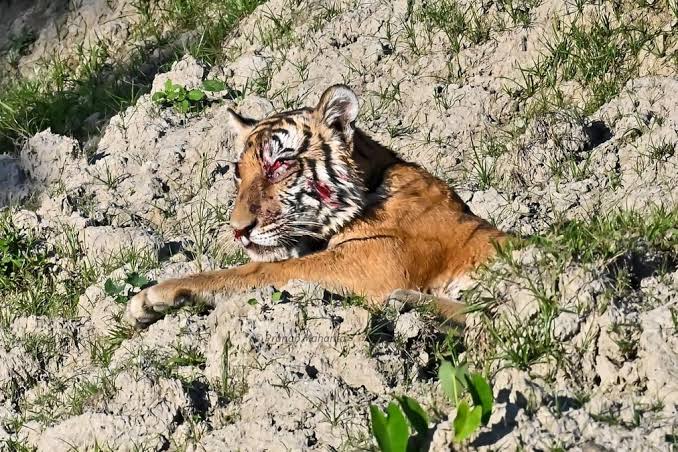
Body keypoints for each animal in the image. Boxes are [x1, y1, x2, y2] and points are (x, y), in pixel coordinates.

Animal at [125, 85, 508, 326]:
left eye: (279, 165)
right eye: (237, 172)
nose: (237, 230)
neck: (371, 185)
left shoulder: (371, 261)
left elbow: (260, 270)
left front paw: (151, 295)